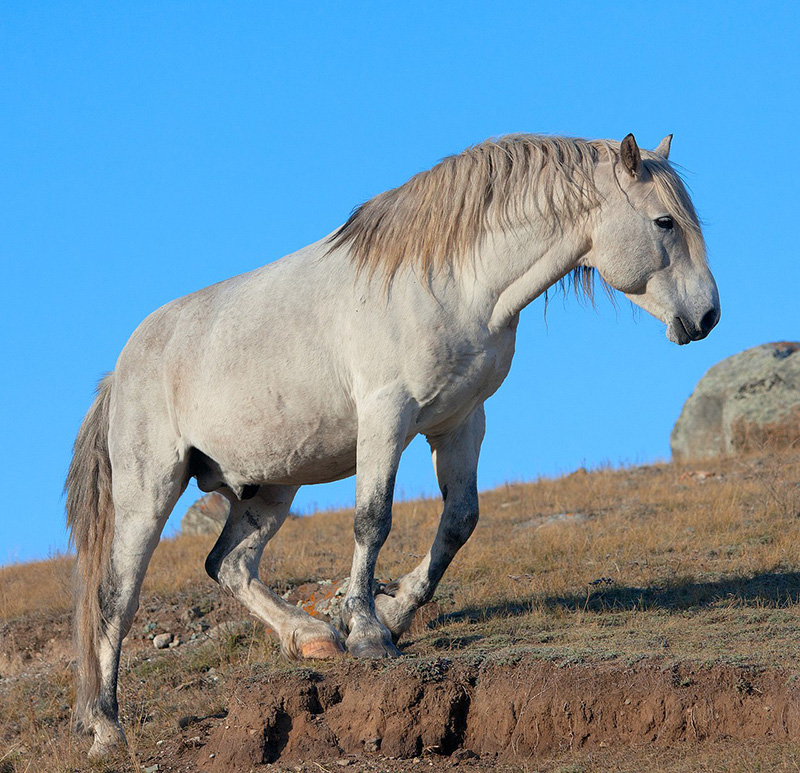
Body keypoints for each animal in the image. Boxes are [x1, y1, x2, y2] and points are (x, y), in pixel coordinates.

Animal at [67, 133, 720, 752]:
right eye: (664, 222)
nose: (708, 316)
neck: (452, 282)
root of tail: (120, 370)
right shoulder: (386, 417)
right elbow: (372, 521)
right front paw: (367, 634)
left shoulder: (460, 423)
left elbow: (459, 521)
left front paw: (391, 612)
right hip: (149, 491)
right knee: (116, 598)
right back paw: (107, 728)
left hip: (270, 487)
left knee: (227, 564)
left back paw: (311, 638)